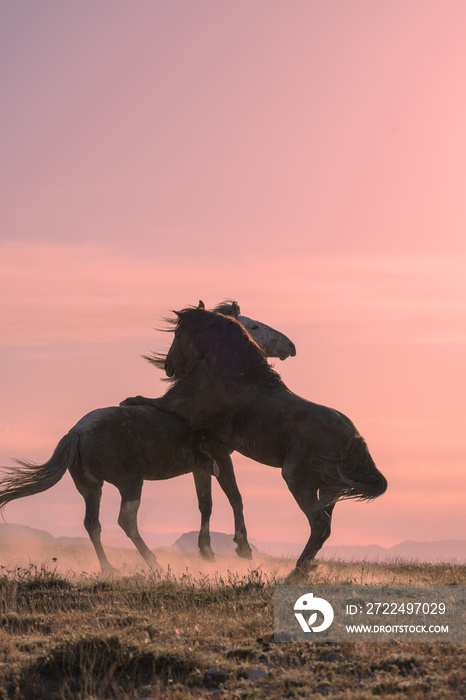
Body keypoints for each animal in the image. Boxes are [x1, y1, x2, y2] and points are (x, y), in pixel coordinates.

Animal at [122, 304, 388, 584]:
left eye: (178, 333)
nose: (169, 368)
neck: (235, 374)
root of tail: (354, 438)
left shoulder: (185, 409)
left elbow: (150, 401)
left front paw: (129, 400)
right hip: (327, 489)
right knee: (325, 528)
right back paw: (301, 570)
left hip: (298, 480)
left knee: (319, 523)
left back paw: (294, 573)